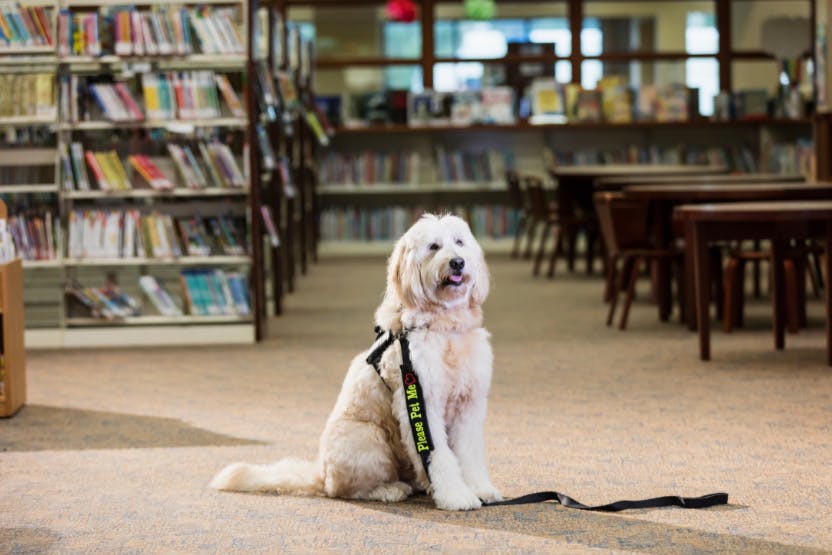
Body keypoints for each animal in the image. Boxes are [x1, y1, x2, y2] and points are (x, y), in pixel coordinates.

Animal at [213, 213, 500, 512]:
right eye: (434, 246)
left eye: (459, 242)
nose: (457, 262)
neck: (446, 328)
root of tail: (322, 474)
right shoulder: (420, 403)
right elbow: (437, 455)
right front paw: (456, 495)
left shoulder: (469, 404)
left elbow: (469, 453)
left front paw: (480, 489)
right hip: (368, 439)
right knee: (347, 490)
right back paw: (390, 489)